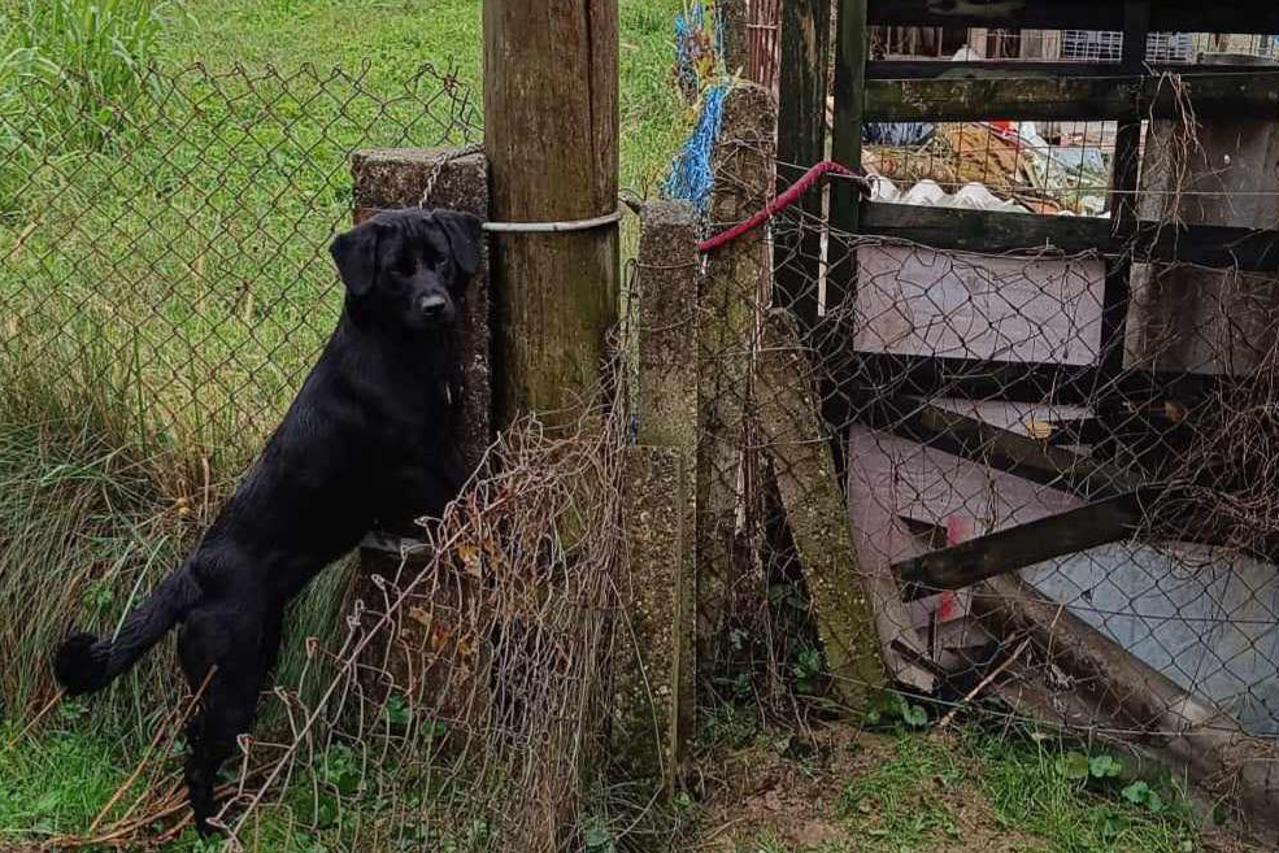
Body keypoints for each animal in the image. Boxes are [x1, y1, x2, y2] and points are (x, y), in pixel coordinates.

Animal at [49, 207, 480, 833]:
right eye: (398, 271)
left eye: (439, 259)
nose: (435, 305)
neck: (394, 349)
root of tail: (193, 575)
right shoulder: (416, 466)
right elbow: (468, 486)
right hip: (233, 679)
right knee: (200, 756)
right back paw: (212, 827)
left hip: (246, 665)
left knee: (192, 740)